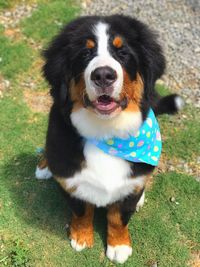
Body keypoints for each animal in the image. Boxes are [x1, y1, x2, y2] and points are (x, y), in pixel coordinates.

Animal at [35, 14, 184, 264]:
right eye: (85, 54)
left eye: (122, 53)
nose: (103, 75)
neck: (106, 132)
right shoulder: (72, 181)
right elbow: (81, 211)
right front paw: (81, 237)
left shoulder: (131, 184)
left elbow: (118, 219)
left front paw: (119, 245)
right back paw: (44, 166)